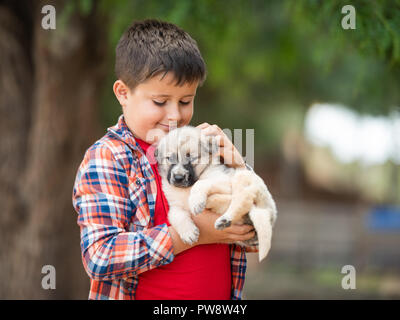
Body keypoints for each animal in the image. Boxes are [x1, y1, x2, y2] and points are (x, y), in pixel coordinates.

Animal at [155, 126, 276, 262]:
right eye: (169, 158)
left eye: (191, 158)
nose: (178, 178)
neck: (186, 188)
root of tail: (270, 213)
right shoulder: (175, 205)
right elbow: (176, 215)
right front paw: (188, 233)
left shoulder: (223, 180)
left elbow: (200, 183)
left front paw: (196, 202)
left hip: (242, 178)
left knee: (242, 201)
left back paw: (219, 212)